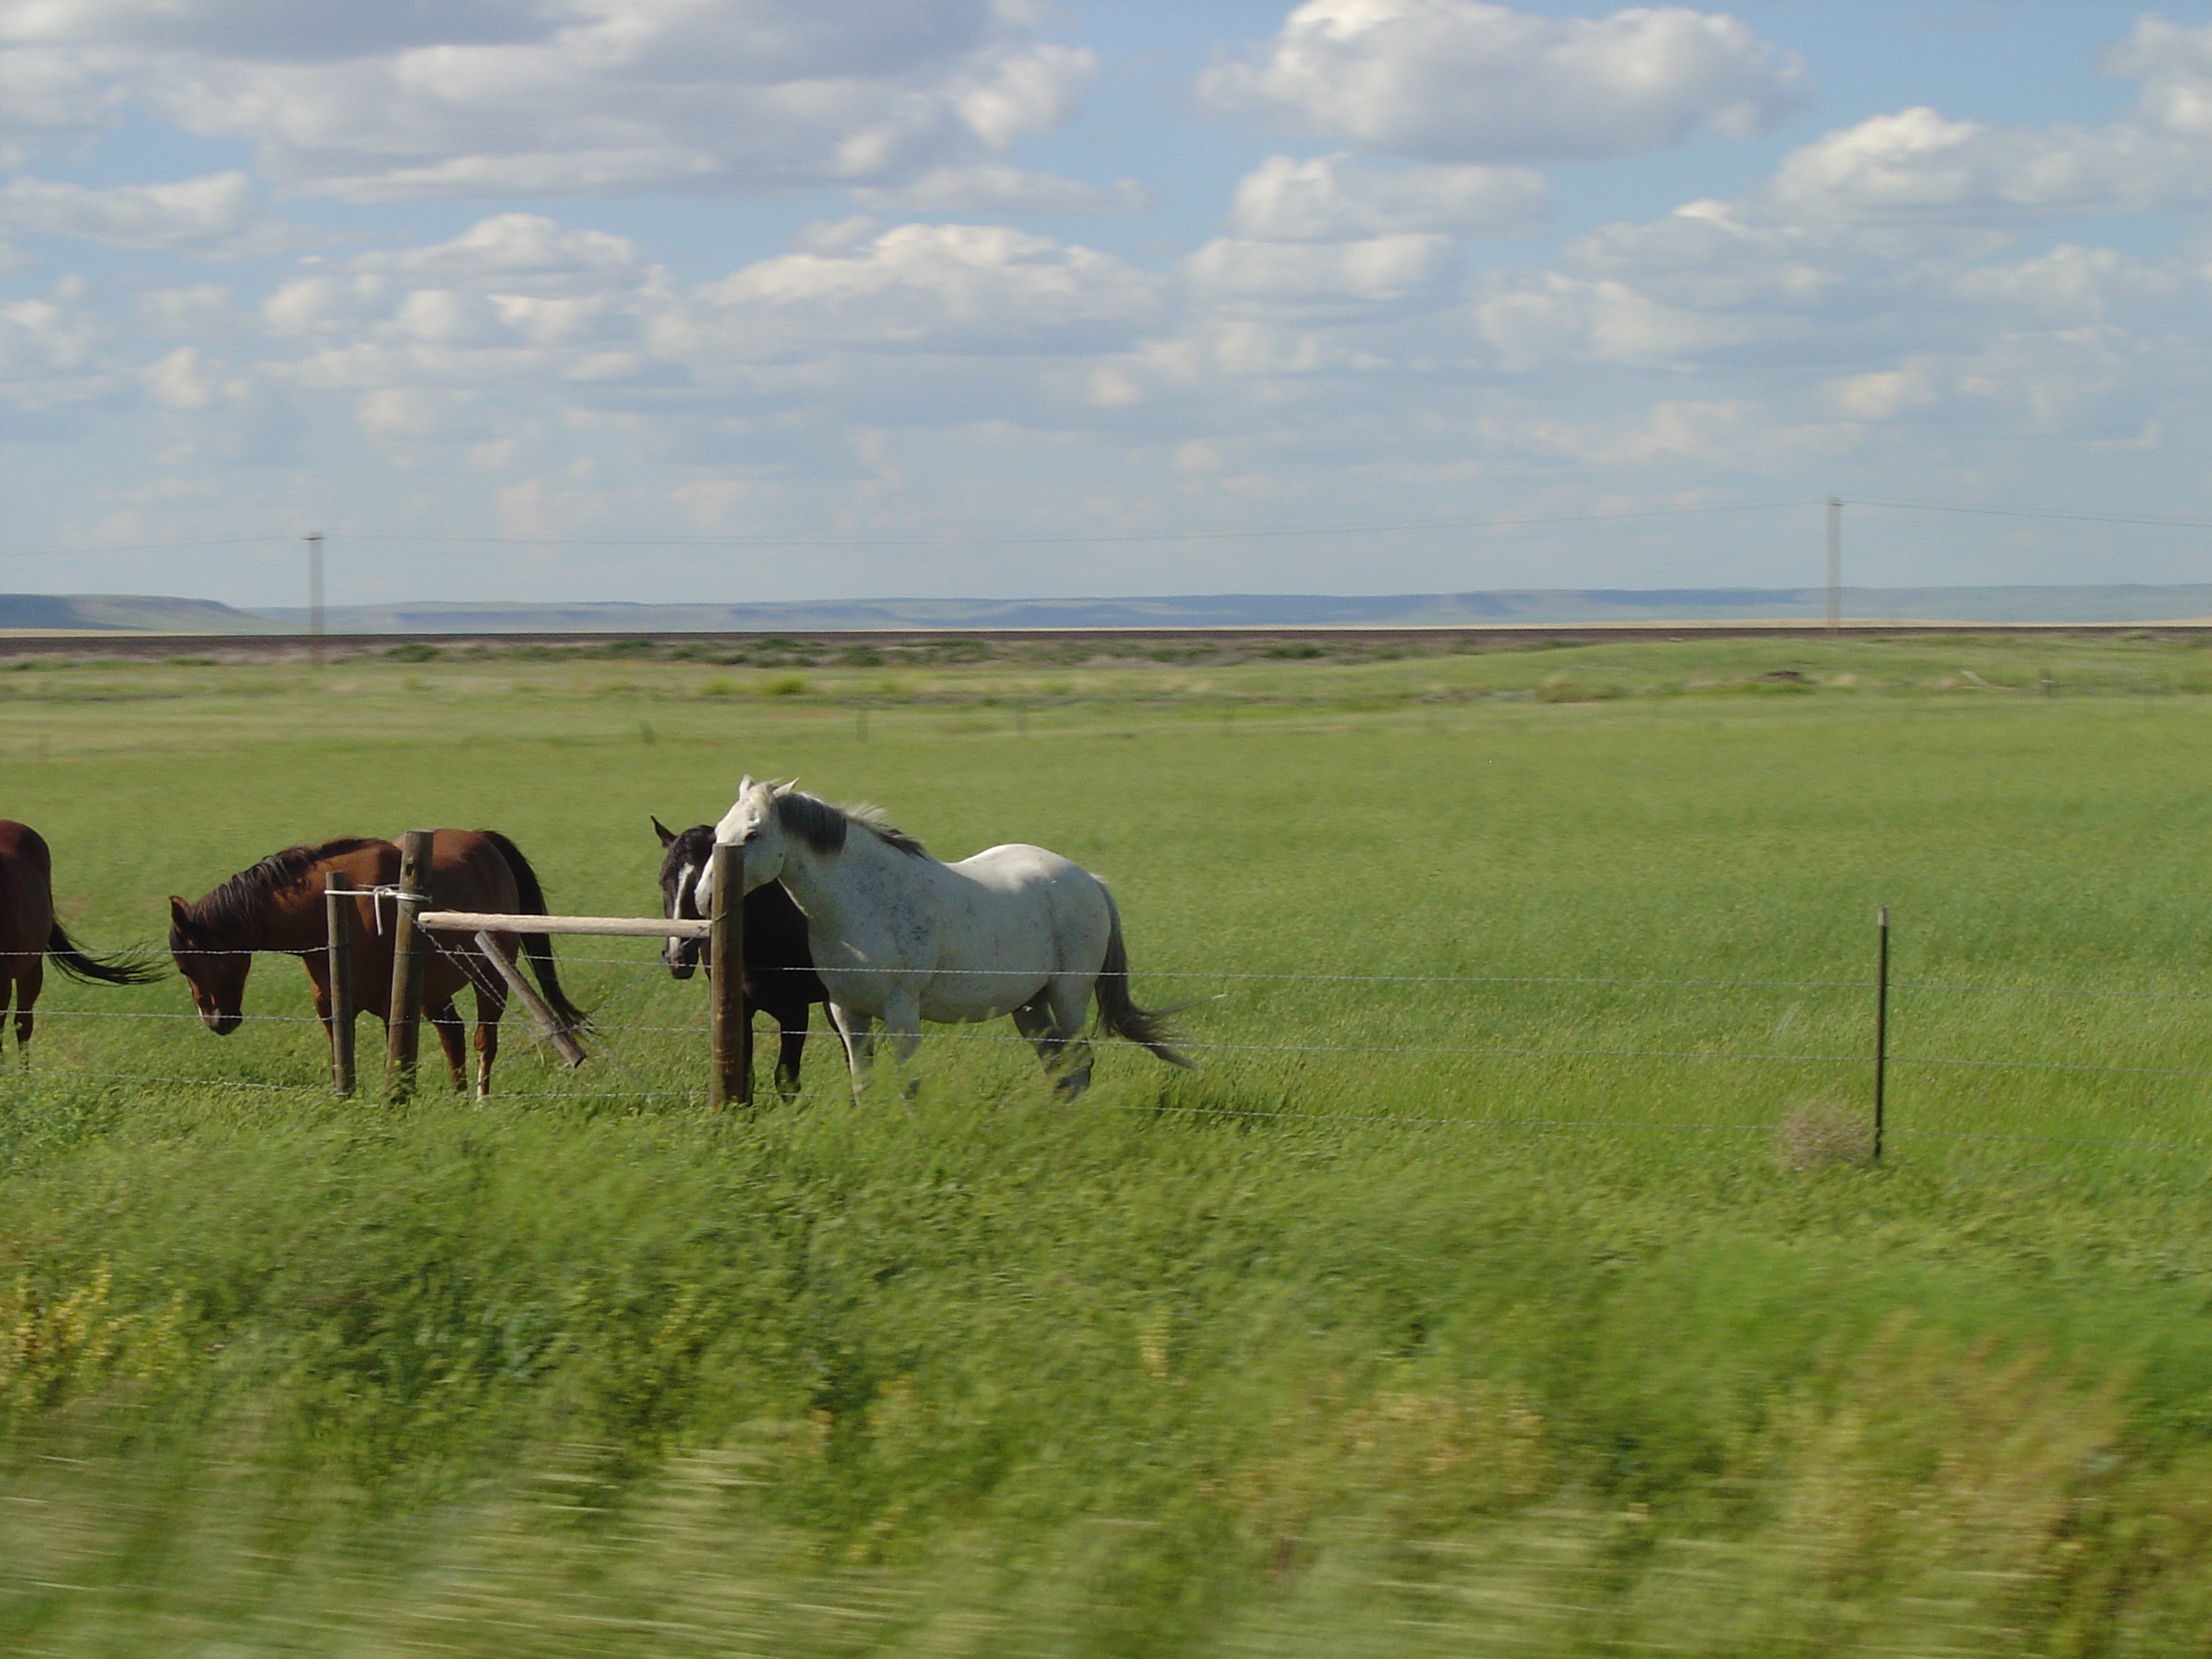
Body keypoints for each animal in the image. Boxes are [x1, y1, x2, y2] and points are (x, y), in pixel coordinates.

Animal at [659, 813, 831, 1097]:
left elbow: (787, 1080)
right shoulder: (738, 1012)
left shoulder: (795, 1011)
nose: (676, 956)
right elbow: (744, 1078)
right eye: (663, 881)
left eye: (705, 882)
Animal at [707, 783, 1194, 1106]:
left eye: (753, 834)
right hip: (1030, 1006)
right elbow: (863, 1081)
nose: (705, 894)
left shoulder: (902, 1011)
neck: (865, 899)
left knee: (1078, 1063)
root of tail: (1089, 880)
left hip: (1068, 996)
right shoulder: (847, 1010)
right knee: (1057, 1063)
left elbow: (907, 1081)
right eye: (718, 831)